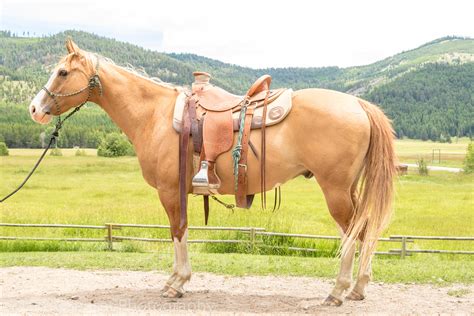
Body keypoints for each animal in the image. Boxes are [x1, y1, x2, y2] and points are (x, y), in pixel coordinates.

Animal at [29, 38, 396, 304]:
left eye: (62, 73)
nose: (34, 109)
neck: (155, 114)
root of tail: (358, 104)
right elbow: (182, 231)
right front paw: (179, 280)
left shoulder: (170, 191)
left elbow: (178, 231)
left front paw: (176, 283)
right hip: (348, 189)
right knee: (363, 231)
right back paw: (358, 288)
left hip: (335, 189)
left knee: (350, 234)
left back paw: (338, 291)